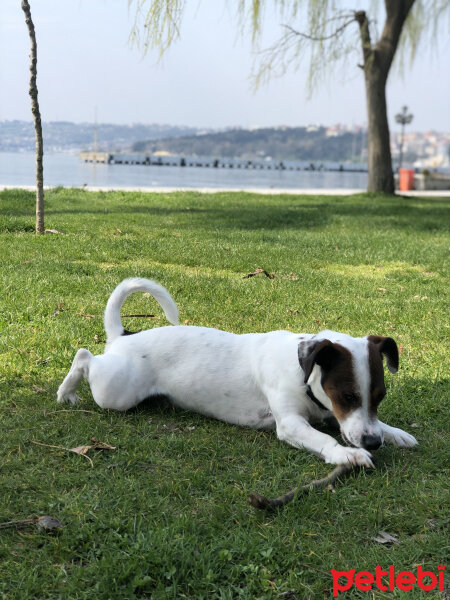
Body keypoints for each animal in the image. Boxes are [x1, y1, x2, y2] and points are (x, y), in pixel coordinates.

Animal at [57, 278, 418, 468]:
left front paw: (394, 432)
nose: (372, 442)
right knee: (84, 356)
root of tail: (124, 336)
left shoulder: (334, 414)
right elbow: (322, 438)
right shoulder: (291, 424)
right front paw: (346, 453)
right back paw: (67, 391)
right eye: (346, 396)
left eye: (380, 397)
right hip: (115, 391)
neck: (301, 370)